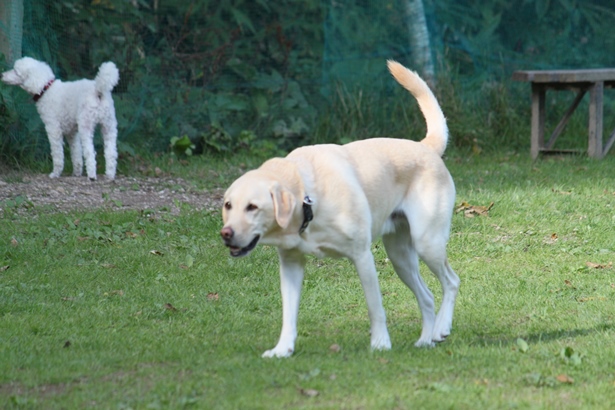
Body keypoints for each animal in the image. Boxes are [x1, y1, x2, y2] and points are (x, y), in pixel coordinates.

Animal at [220, 59, 458, 358]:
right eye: (228, 205)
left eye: (253, 207)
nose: (226, 234)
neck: (307, 198)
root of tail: (425, 147)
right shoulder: (291, 265)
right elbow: (289, 315)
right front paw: (282, 349)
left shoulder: (362, 256)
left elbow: (375, 308)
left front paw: (380, 344)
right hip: (400, 256)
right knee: (426, 296)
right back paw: (426, 339)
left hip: (428, 243)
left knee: (451, 282)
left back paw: (442, 328)